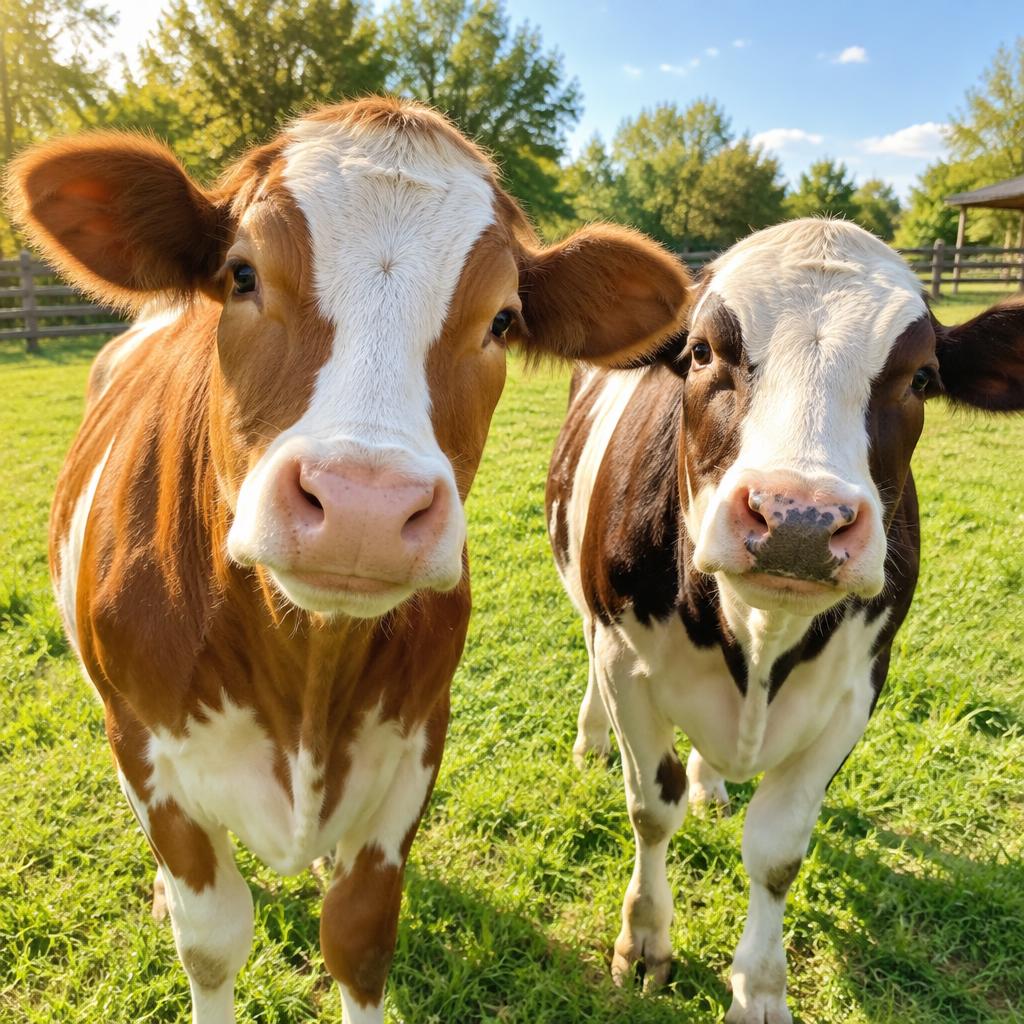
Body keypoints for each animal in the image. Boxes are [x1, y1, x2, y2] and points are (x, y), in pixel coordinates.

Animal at [7, 97, 691, 1023]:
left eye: (502, 320)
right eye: (242, 275)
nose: (364, 507)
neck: (307, 667)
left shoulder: (415, 743)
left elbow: (360, 938)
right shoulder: (146, 749)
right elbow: (212, 938)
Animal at [545, 218, 1024, 1023]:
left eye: (921, 377)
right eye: (702, 351)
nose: (799, 519)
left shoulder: (853, 693)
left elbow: (776, 851)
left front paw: (762, 988)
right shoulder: (625, 660)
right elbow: (651, 809)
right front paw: (643, 943)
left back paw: (712, 783)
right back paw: (591, 741)